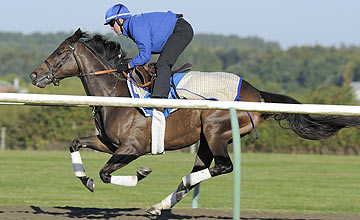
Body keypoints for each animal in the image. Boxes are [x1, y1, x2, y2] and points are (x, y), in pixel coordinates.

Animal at [29, 28, 360, 215]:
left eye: (60, 52)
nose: (34, 74)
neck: (117, 94)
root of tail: (256, 93)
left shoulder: (132, 148)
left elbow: (107, 173)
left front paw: (141, 173)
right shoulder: (107, 143)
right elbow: (76, 145)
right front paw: (84, 180)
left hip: (215, 131)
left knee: (222, 167)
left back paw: (174, 190)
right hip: (205, 140)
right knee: (201, 171)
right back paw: (160, 204)